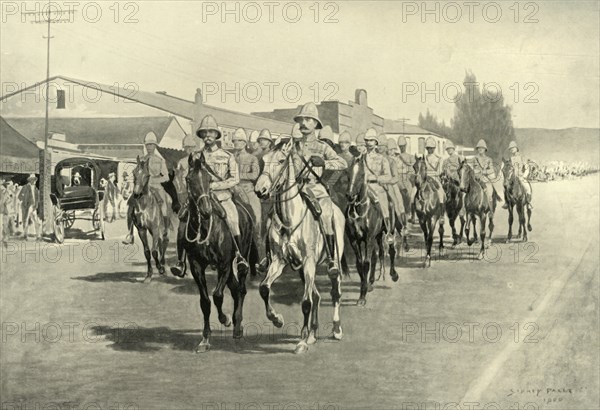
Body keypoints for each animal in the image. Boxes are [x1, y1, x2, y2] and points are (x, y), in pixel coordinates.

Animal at [183, 154, 258, 352]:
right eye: (189, 180)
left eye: (209, 180)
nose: (206, 210)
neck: (206, 230)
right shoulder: (196, 266)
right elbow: (205, 301)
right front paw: (205, 339)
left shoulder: (224, 264)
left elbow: (217, 295)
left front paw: (225, 319)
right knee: (235, 289)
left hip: (240, 259)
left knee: (241, 289)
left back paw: (237, 327)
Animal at [254, 139, 346, 354]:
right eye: (263, 160)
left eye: (281, 161)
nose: (260, 190)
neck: (291, 218)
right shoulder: (279, 261)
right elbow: (264, 288)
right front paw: (277, 319)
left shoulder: (309, 261)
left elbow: (305, 302)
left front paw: (301, 342)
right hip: (301, 269)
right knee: (316, 295)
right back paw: (312, 334)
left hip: (332, 261)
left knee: (334, 292)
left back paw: (336, 329)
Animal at [344, 150, 396, 304]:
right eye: (348, 173)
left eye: (362, 174)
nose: (349, 195)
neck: (359, 209)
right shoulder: (354, 240)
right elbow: (360, 264)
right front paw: (364, 289)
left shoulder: (368, 239)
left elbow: (366, 263)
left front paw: (363, 296)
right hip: (377, 236)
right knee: (376, 255)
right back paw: (371, 281)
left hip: (389, 230)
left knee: (391, 250)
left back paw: (393, 274)